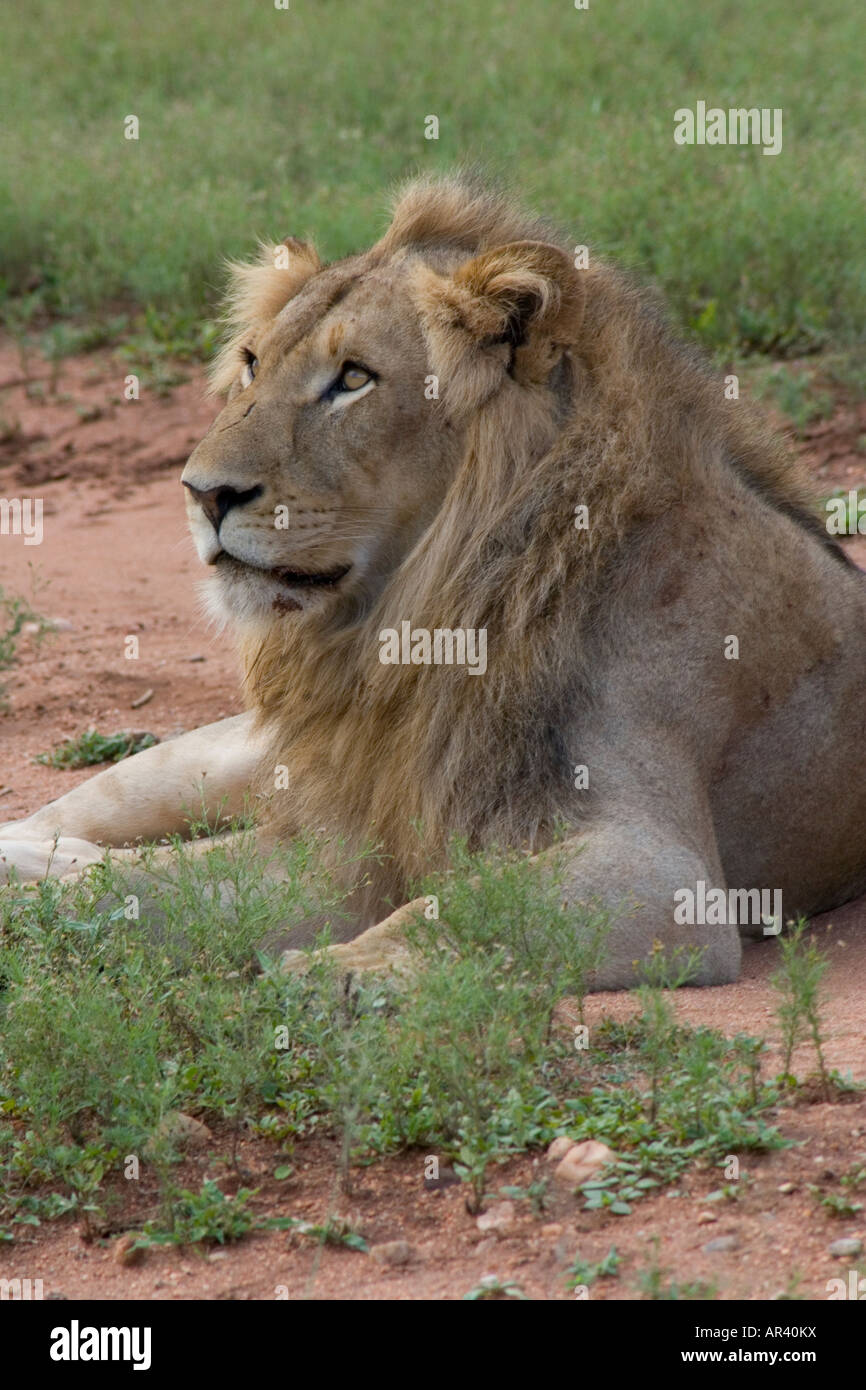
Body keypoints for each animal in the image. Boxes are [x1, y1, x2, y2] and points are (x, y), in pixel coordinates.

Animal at [3, 172, 866, 990]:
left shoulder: (663, 876)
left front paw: (335, 975)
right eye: (251, 364)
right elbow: (134, 891)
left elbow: (465, 903)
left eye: (353, 378)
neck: (414, 626)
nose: (202, 493)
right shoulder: (338, 845)